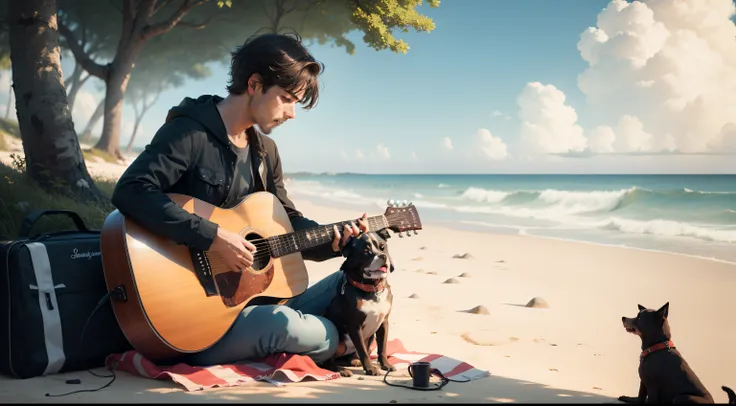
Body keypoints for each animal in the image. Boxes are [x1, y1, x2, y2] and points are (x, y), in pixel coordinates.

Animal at [322, 230, 396, 376]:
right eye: (366, 251)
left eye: (383, 247)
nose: (383, 256)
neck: (372, 289)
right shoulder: (355, 326)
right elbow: (363, 351)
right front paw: (370, 369)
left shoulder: (383, 323)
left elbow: (382, 348)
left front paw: (386, 365)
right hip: (339, 343)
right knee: (326, 362)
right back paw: (342, 370)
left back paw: (354, 361)